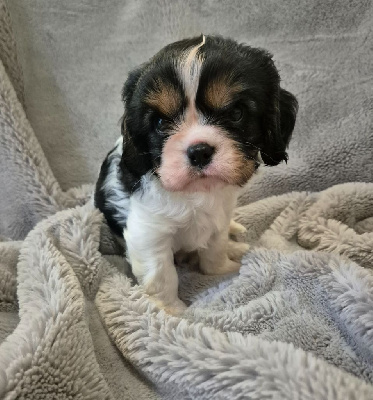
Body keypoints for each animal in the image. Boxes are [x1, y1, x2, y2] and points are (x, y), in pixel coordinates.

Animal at [94, 36, 298, 314]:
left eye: (236, 113)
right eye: (160, 123)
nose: (199, 151)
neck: (196, 192)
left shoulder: (218, 219)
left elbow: (215, 249)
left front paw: (222, 270)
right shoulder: (148, 233)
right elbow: (161, 276)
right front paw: (171, 312)